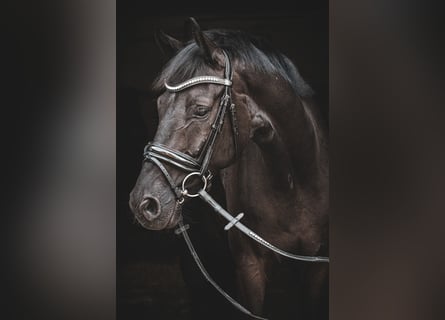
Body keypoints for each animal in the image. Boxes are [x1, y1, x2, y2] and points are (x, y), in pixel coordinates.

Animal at [128, 18, 330, 320]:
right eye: (160, 106)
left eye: (200, 110)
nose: (144, 203)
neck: (294, 182)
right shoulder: (249, 267)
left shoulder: (316, 265)